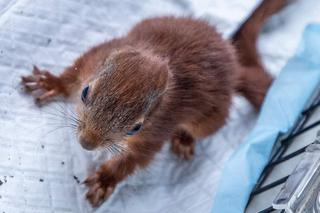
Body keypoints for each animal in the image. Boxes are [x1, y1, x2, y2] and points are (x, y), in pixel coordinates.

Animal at [21, 0, 288, 207]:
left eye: (135, 128)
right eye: (85, 93)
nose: (87, 143)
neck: (158, 58)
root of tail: (235, 69)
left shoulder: (158, 128)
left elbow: (134, 160)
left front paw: (104, 180)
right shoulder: (95, 58)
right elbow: (72, 76)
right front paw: (52, 83)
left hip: (211, 117)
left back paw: (184, 139)